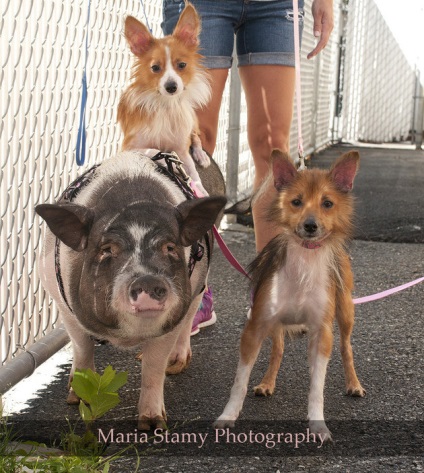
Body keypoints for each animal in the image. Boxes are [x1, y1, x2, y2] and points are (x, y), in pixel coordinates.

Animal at [36, 150, 227, 428]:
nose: (148, 281)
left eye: (170, 247)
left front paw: (153, 425)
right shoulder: (62, 301)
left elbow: (154, 366)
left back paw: (175, 364)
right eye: (107, 250)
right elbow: (82, 348)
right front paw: (78, 399)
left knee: (189, 319)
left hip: (199, 284)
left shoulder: (172, 318)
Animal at [117, 1, 210, 194]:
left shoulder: (182, 150)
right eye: (155, 68)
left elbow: (193, 173)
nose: (171, 87)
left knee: (196, 137)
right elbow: (154, 150)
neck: (165, 104)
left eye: (182, 65)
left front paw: (200, 190)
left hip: (191, 120)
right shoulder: (128, 147)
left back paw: (201, 155)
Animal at [215, 150, 364, 438]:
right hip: (274, 321)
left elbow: (317, 386)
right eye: (296, 202)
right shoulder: (256, 326)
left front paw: (318, 425)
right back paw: (267, 382)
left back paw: (353, 383)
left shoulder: (322, 333)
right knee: (278, 349)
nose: (310, 226)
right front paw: (228, 415)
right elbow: (240, 381)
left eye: (327, 204)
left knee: (346, 347)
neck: (304, 262)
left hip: (345, 310)